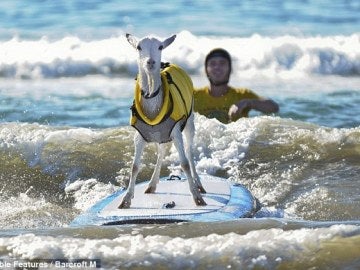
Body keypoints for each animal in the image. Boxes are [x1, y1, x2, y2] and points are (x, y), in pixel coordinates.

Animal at [118, 32, 207, 208]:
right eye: (139, 47)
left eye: (160, 47)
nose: (151, 62)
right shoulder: (139, 135)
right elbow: (134, 166)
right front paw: (126, 199)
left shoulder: (176, 130)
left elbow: (184, 163)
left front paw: (197, 198)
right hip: (161, 134)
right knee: (162, 151)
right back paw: (151, 185)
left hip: (189, 121)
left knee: (189, 151)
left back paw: (199, 184)